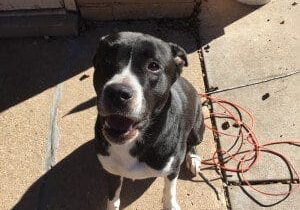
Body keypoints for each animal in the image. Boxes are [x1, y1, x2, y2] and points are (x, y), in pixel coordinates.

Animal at [92, 32, 205, 209]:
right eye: (106, 59)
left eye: (153, 66)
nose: (117, 93)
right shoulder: (111, 172)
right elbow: (113, 197)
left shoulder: (172, 169)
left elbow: (169, 190)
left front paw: (170, 204)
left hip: (198, 129)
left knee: (192, 142)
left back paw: (193, 159)